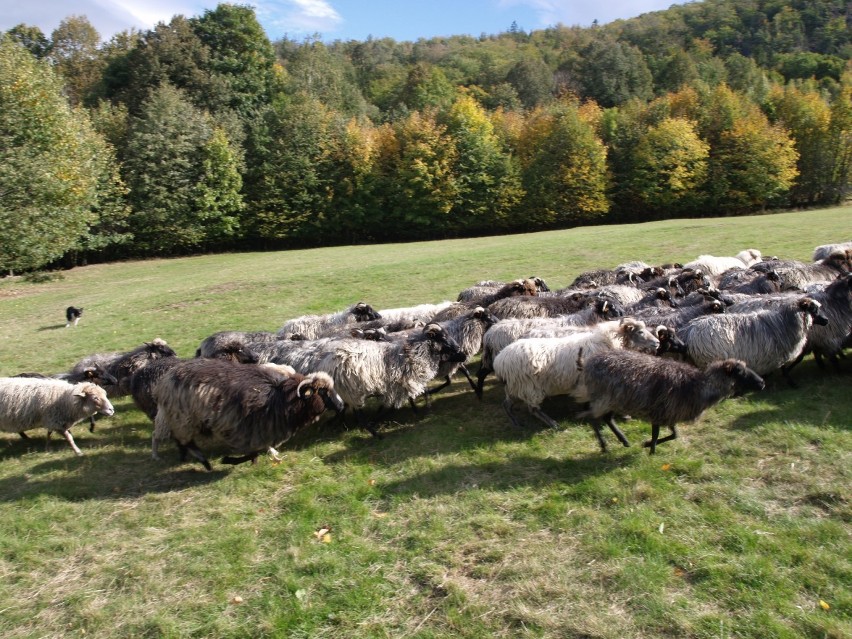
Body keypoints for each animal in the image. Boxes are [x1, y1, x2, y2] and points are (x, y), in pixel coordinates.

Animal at [151, 362, 344, 472]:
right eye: (323, 392)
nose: (341, 406)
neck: (280, 397)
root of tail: (165, 380)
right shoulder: (248, 430)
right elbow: (253, 452)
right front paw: (230, 460)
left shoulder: (258, 431)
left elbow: (256, 452)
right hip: (183, 418)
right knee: (185, 441)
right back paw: (204, 462)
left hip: (180, 419)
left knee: (181, 441)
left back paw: (187, 458)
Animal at [576, 350, 764, 456]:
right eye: (740, 372)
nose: (762, 383)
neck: (698, 387)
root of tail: (587, 363)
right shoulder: (659, 411)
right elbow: (656, 434)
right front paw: (651, 452)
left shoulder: (671, 414)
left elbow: (674, 435)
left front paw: (646, 445)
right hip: (604, 398)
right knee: (592, 418)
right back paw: (604, 446)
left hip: (614, 400)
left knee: (606, 419)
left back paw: (624, 441)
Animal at [684, 296, 828, 384]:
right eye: (813, 309)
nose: (826, 320)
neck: (785, 322)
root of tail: (689, 330)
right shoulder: (778, 352)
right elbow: (783, 369)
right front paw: (791, 383)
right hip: (708, 359)